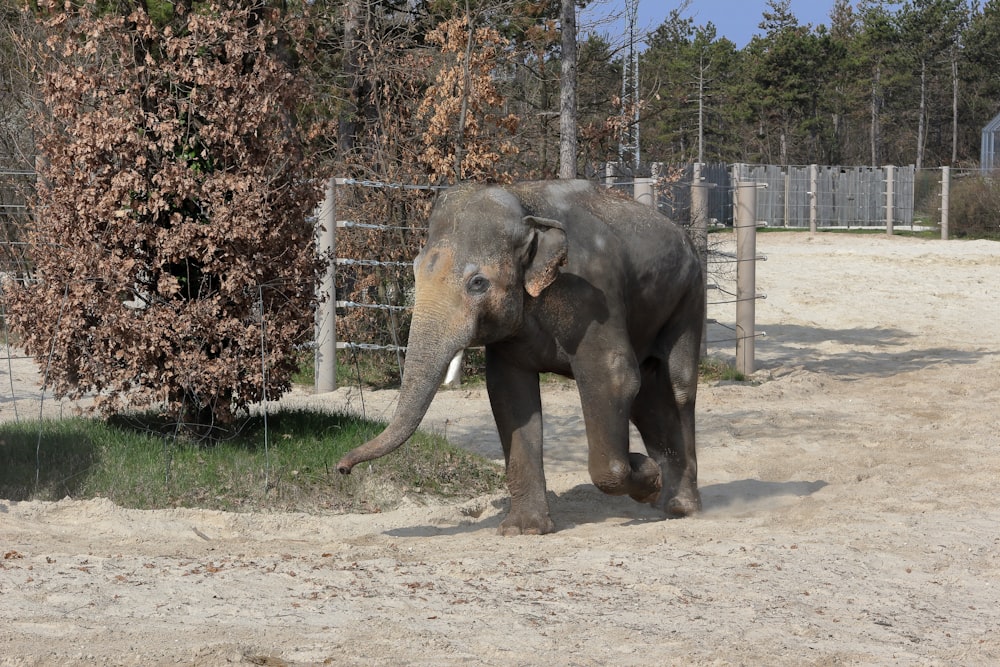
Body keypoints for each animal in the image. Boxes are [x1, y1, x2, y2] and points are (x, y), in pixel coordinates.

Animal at [340, 180, 708, 536]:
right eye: (415, 269)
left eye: (478, 283)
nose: (342, 467)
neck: (524, 203)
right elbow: (509, 393)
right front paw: (524, 529)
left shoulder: (594, 295)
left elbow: (613, 377)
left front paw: (646, 474)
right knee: (647, 395)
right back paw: (668, 501)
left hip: (690, 295)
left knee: (677, 387)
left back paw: (679, 506)